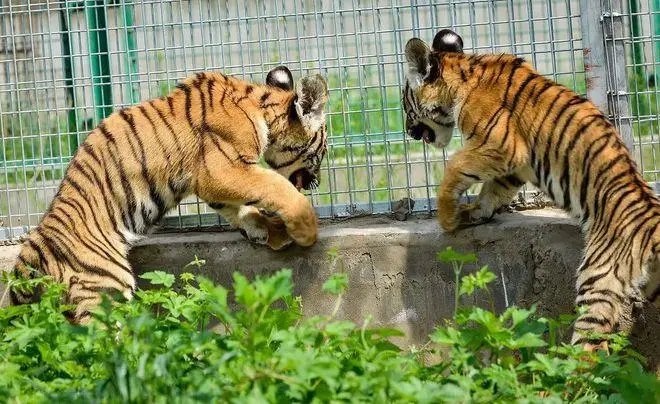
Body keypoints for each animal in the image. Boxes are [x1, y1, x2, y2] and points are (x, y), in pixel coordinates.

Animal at [10, 65, 329, 323]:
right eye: (323, 147)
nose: (318, 181)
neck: (261, 107)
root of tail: (34, 248)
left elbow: (239, 208)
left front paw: (273, 231)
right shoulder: (221, 169)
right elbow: (274, 186)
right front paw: (305, 230)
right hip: (105, 288)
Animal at [402, 29, 660, 348]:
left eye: (405, 103)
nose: (407, 131)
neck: (463, 74)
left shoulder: (502, 145)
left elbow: (455, 166)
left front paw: (448, 218)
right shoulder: (515, 164)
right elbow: (492, 190)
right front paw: (473, 213)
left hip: (598, 279)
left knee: (590, 346)